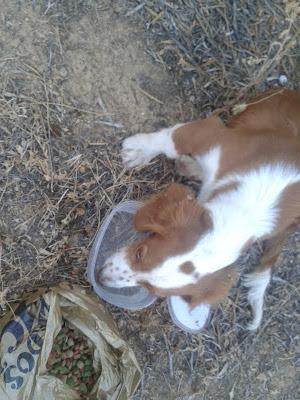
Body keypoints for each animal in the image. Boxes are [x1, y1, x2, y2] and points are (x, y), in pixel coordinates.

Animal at [99, 90, 300, 328]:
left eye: (151, 289)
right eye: (140, 252)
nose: (101, 278)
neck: (247, 211)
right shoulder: (212, 135)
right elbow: (170, 141)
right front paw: (140, 150)